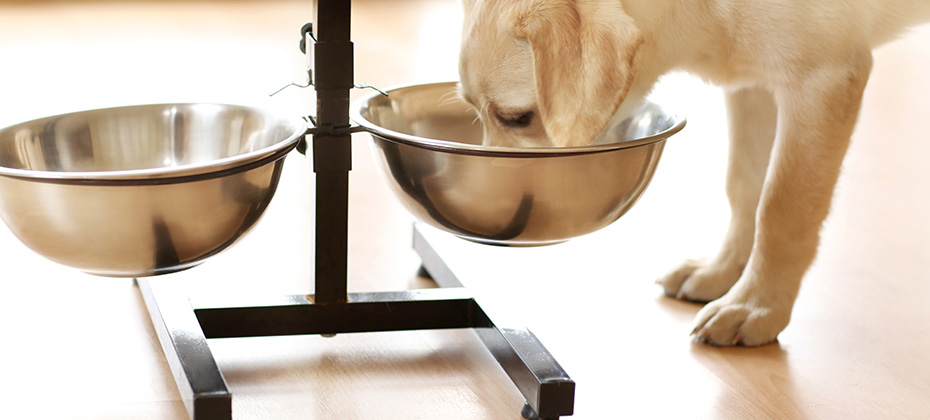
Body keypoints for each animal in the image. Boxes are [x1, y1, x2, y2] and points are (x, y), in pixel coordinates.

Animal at [456, 0, 928, 346]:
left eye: (517, 118)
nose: (487, 207)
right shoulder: (753, 82)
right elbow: (745, 188)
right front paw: (722, 271)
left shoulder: (821, 80)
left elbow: (780, 209)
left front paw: (757, 305)